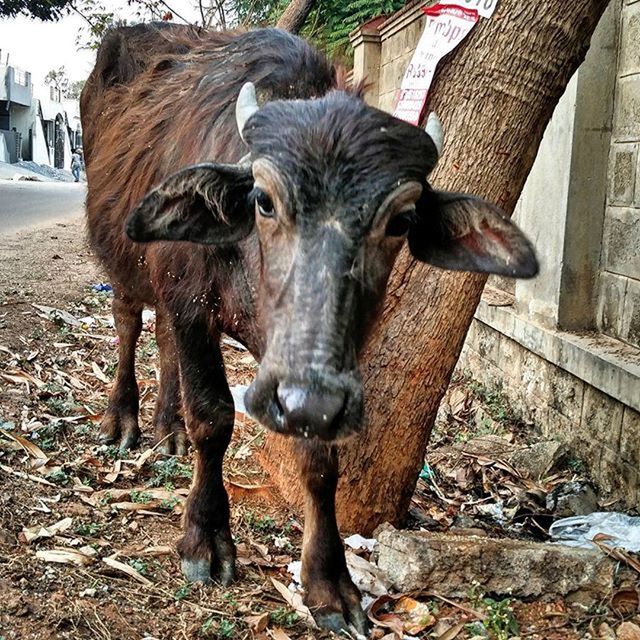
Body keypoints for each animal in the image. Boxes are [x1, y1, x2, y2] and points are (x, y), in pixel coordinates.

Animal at [81, 23, 540, 636]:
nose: (305, 399)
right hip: (125, 261)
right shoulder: (189, 302)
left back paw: (166, 427)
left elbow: (322, 462)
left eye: (401, 220)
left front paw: (329, 583)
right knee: (131, 323)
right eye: (262, 200)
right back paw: (122, 419)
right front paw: (205, 538)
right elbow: (213, 418)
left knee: (162, 343)